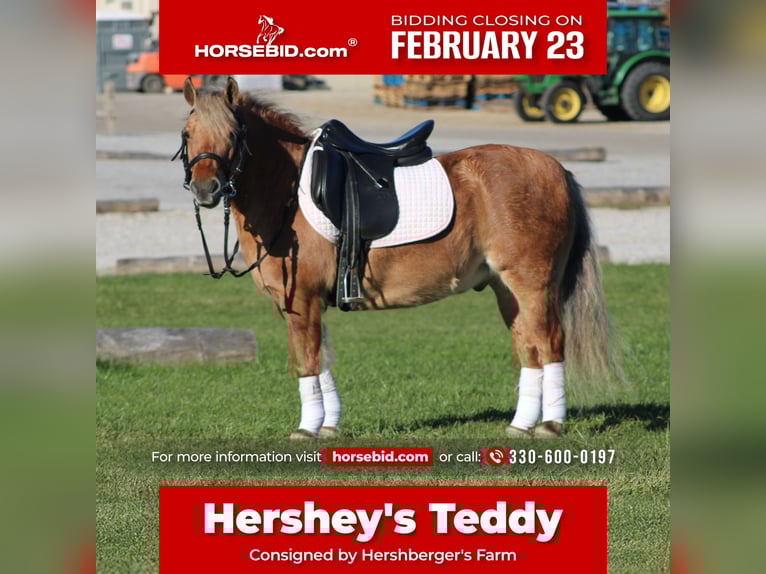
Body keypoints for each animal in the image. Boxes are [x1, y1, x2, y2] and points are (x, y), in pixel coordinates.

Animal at [177, 77, 615, 440]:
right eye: (187, 133)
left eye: (234, 134)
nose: (205, 189)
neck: (289, 194)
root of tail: (557, 169)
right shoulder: (310, 303)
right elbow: (323, 358)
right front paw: (330, 425)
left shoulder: (301, 301)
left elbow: (307, 361)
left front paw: (308, 428)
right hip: (507, 289)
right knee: (528, 346)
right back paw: (521, 425)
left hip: (533, 283)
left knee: (550, 343)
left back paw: (551, 425)